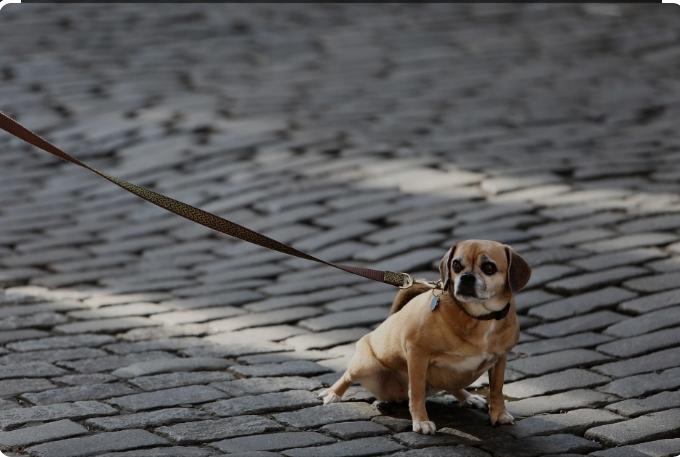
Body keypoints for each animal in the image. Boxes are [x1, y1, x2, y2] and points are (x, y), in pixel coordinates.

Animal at [318, 239, 532, 434]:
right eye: (456, 265)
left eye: (489, 267)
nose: (466, 277)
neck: (478, 317)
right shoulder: (417, 354)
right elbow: (417, 392)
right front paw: (421, 421)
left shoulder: (500, 359)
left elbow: (497, 390)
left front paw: (499, 414)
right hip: (364, 366)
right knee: (347, 376)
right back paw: (332, 394)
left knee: (452, 385)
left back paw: (468, 398)